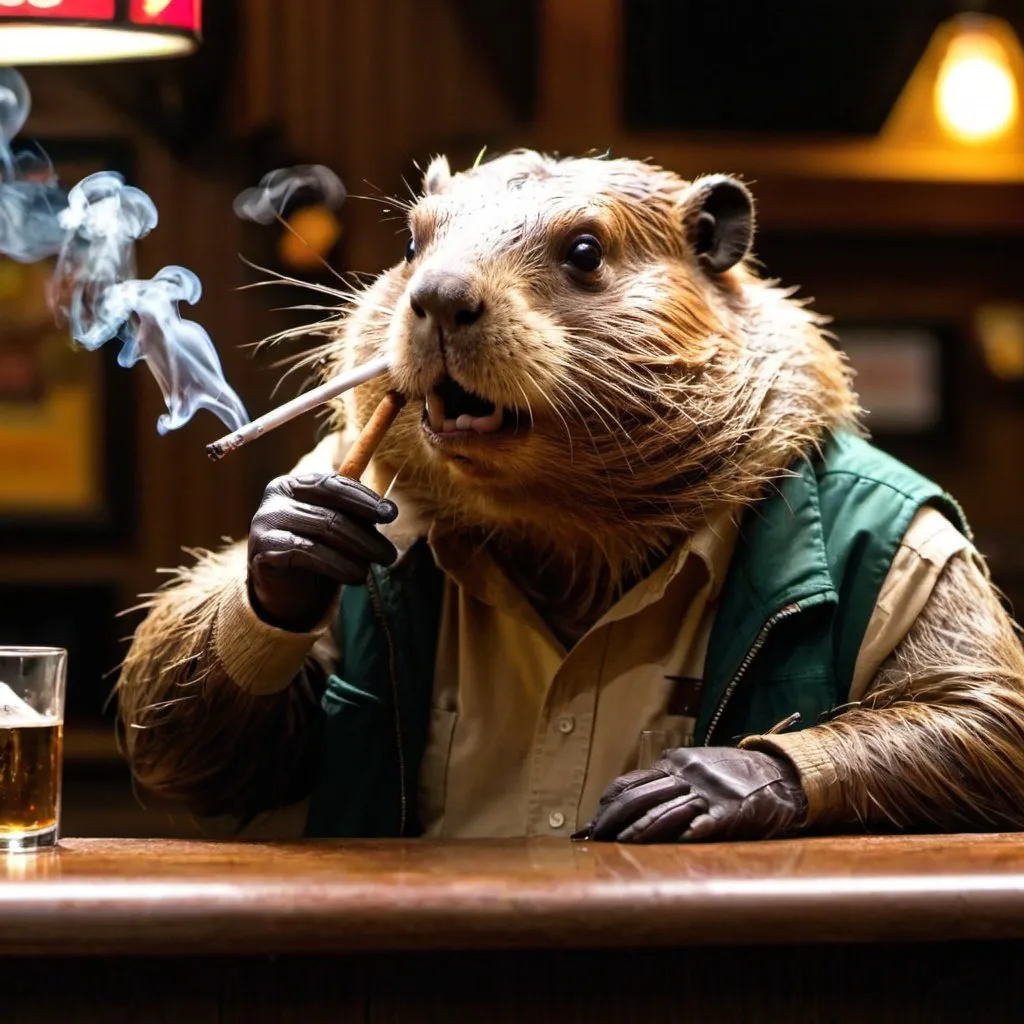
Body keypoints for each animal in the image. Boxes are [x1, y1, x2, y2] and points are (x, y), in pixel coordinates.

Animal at [116, 149, 1024, 839]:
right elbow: (212, 750)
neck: (567, 543)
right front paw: (294, 536)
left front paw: (707, 782)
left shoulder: (927, 547)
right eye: (410, 241)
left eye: (586, 250)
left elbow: (983, 705)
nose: (440, 296)